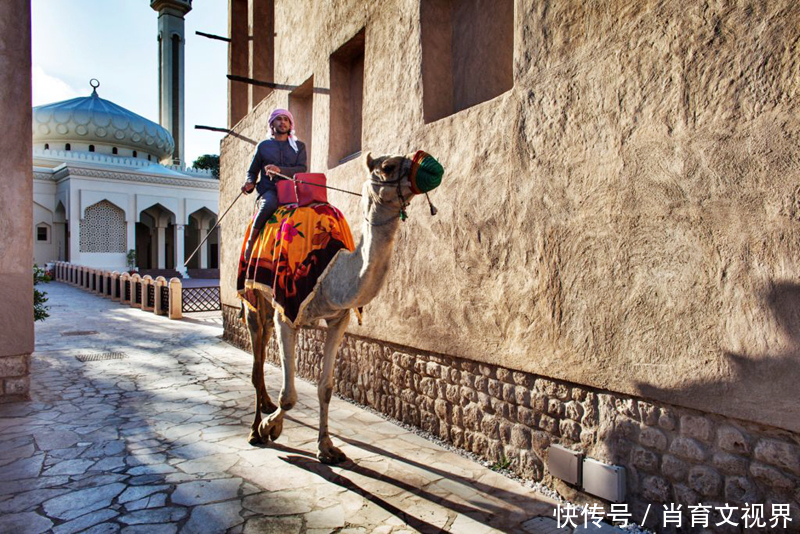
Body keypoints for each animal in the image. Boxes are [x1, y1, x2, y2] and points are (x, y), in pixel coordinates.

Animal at [247, 151, 440, 464]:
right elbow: (288, 395)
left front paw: (326, 448)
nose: (431, 169)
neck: (332, 272)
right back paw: (255, 427)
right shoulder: (286, 312)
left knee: (263, 347)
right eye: (388, 167)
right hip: (253, 293)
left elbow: (325, 388)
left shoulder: (339, 319)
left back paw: (265, 404)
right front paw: (268, 428)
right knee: (257, 352)